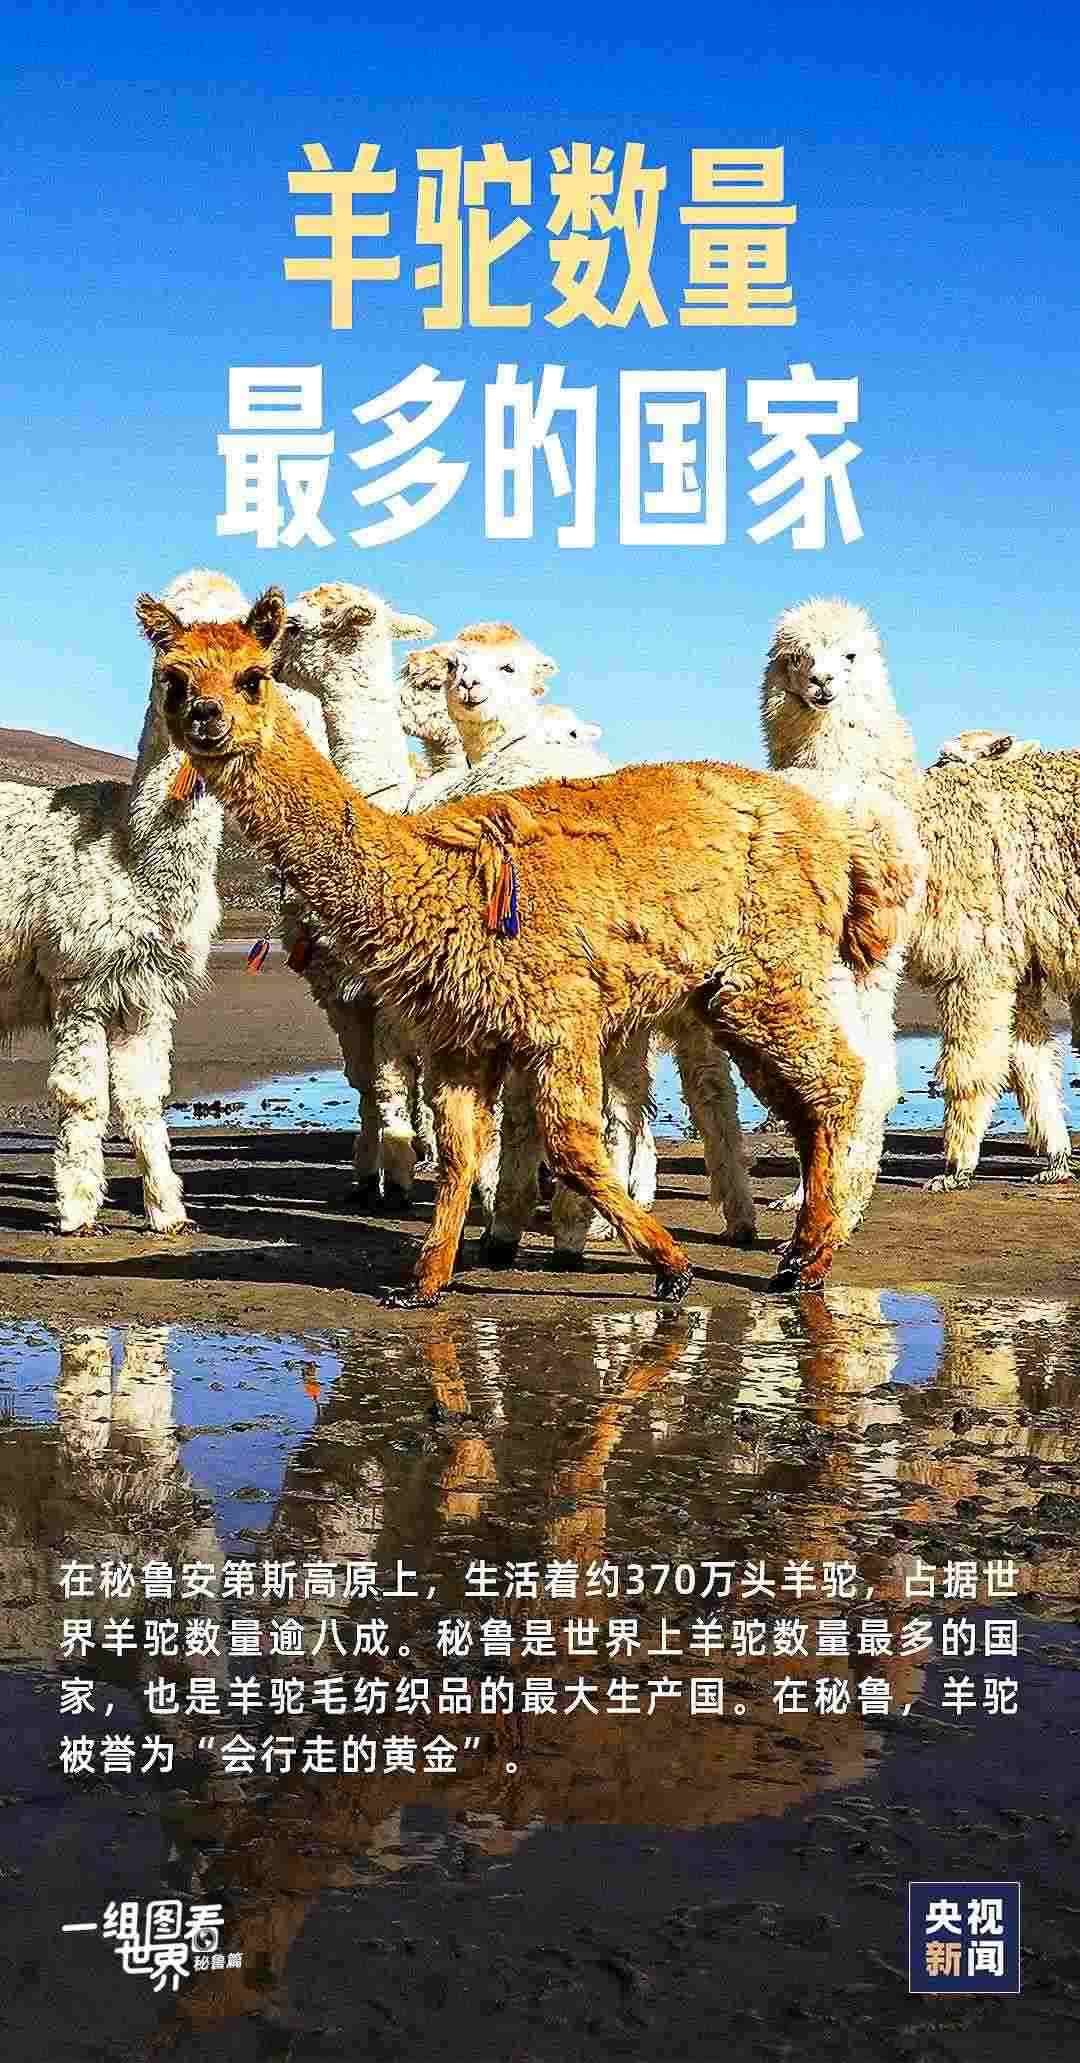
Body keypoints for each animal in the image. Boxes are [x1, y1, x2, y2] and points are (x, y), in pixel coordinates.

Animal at [0, 567, 246, 1234]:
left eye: (252, 661)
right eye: (169, 656)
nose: (207, 715)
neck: (127, 855)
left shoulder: (146, 990)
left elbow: (143, 1099)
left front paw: (168, 1210)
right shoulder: (78, 978)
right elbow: (82, 1096)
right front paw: (78, 1208)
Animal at [759, 598, 1077, 1200]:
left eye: (849, 655)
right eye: (796, 657)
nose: (822, 683)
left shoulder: (978, 956)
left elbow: (971, 1067)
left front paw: (955, 1168)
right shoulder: (1015, 957)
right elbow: (1031, 1061)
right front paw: (1053, 1158)